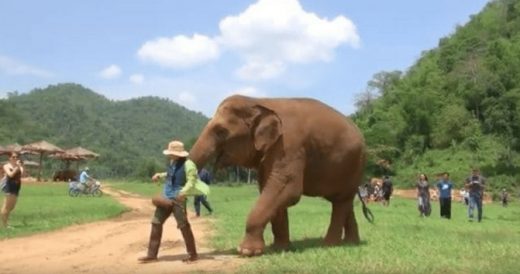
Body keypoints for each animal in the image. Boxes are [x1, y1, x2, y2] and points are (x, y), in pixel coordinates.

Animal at [190, 95, 366, 256]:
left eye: (221, 131)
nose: (193, 256)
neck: (260, 101)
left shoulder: (289, 145)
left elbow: (287, 189)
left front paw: (246, 251)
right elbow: (272, 190)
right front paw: (280, 248)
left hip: (354, 165)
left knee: (341, 202)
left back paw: (329, 245)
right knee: (344, 202)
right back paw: (351, 242)